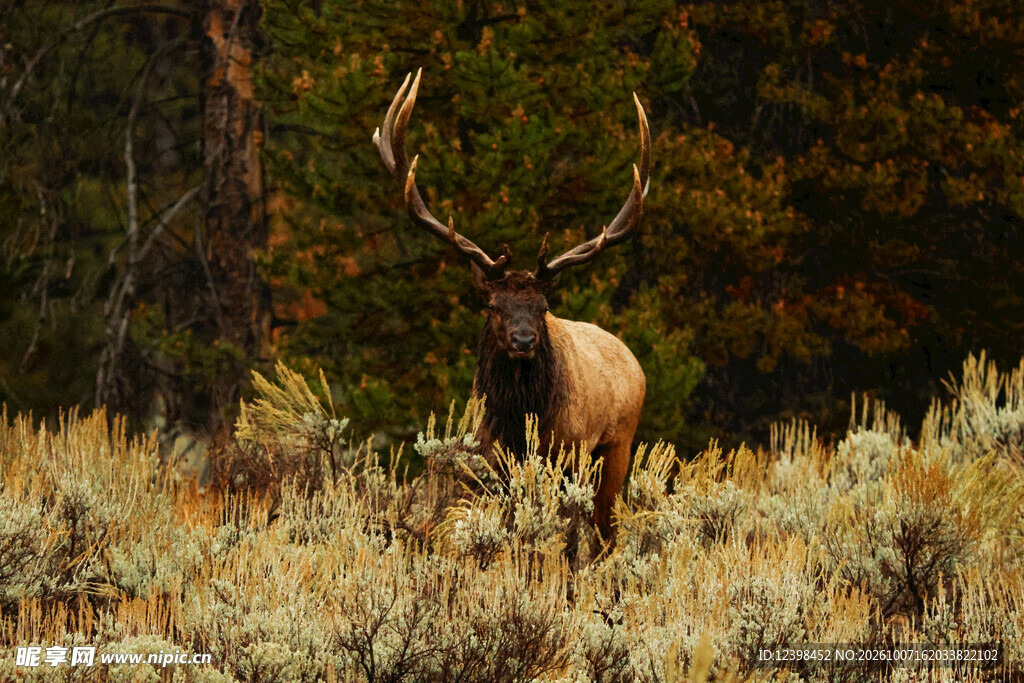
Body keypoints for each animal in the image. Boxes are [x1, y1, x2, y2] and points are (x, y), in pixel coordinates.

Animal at [373, 70, 650, 539]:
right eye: (492, 305)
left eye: (543, 305)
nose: (523, 341)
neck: (519, 425)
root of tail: (633, 361)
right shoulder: (489, 462)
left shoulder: (567, 453)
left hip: (617, 445)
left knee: (603, 532)